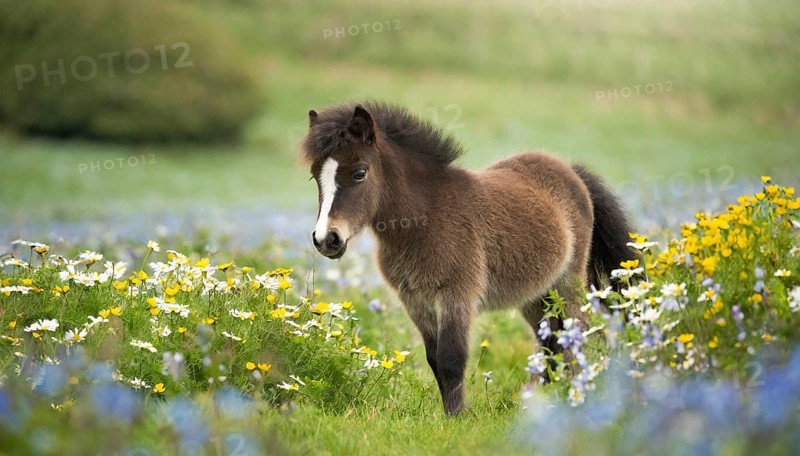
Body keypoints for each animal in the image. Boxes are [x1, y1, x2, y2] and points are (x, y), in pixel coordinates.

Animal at [300, 101, 635, 416]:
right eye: (315, 177)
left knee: (573, 333)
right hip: (536, 294)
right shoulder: (416, 301)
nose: (326, 239)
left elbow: (451, 359)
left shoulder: (456, 294)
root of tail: (570, 170)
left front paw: (457, 418)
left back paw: (571, 395)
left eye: (360, 172)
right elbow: (435, 360)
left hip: (568, 282)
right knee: (550, 340)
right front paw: (452, 414)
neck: (425, 219)